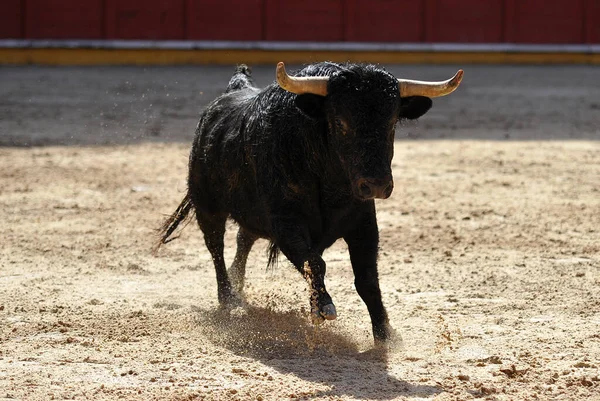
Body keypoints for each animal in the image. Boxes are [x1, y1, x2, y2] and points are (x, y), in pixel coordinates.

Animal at [156, 62, 464, 344]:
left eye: (391, 124)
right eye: (340, 123)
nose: (376, 185)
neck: (330, 180)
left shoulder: (364, 224)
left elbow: (367, 279)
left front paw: (385, 334)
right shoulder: (287, 225)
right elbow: (315, 262)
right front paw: (323, 307)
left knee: (244, 239)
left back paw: (238, 285)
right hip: (208, 206)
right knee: (215, 247)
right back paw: (228, 299)